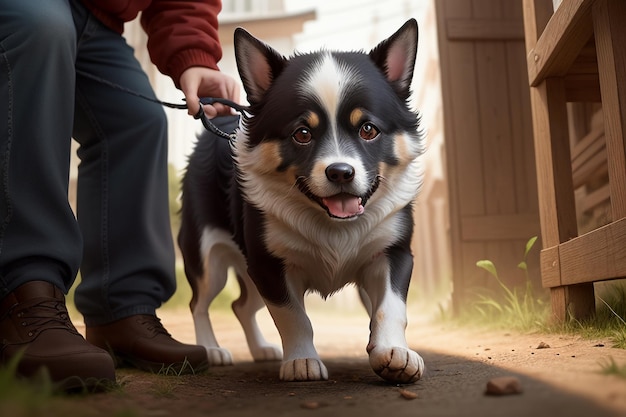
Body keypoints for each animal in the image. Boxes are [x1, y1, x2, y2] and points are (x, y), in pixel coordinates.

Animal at [178, 19, 426, 384]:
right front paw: (301, 361)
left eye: (368, 130)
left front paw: (392, 350)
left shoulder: (392, 254)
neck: (332, 223)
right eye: (302, 134)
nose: (341, 172)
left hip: (248, 269)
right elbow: (293, 317)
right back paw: (210, 348)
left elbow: (389, 308)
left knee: (241, 305)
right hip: (208, 259)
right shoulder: (269, 265)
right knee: (200, 303)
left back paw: (260, 348)